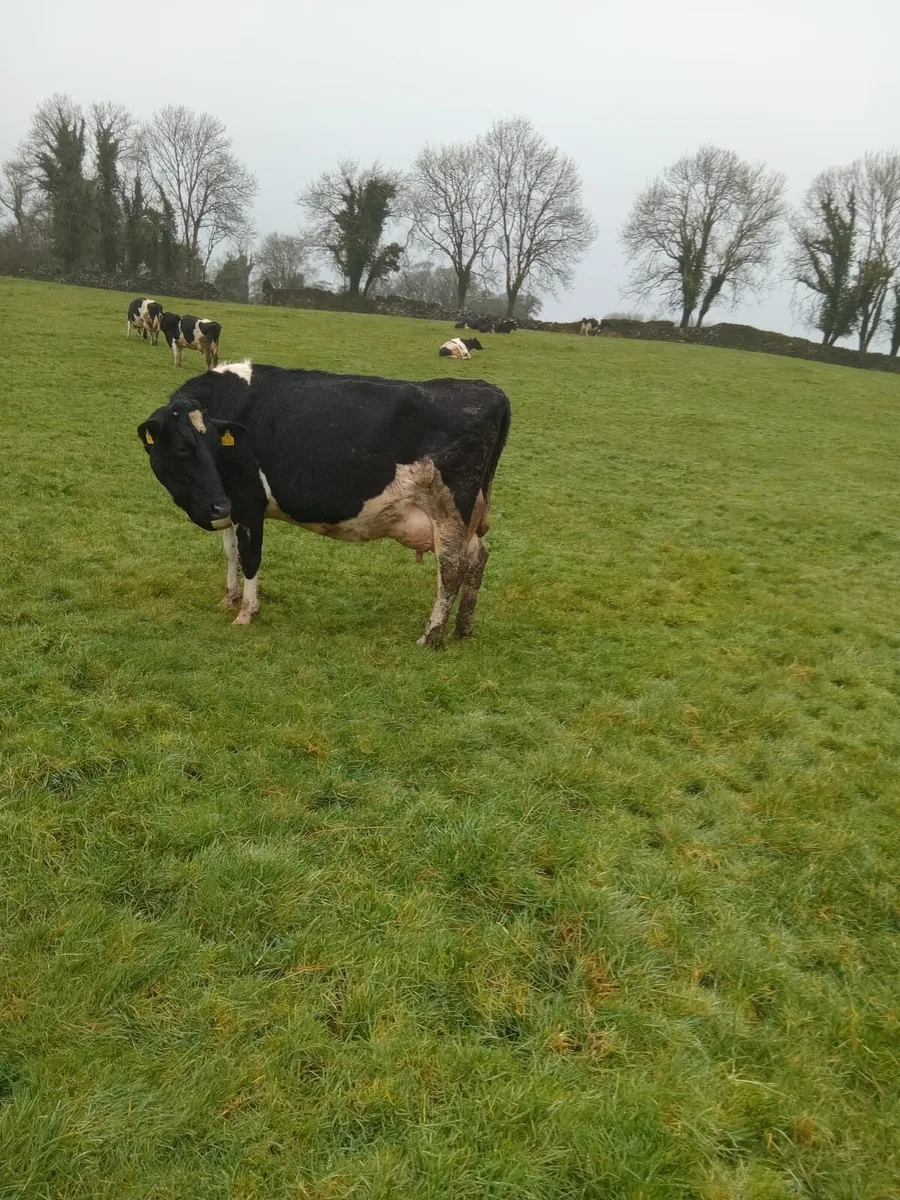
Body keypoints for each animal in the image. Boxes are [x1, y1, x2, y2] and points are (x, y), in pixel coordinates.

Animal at [137, 363, 511, 646]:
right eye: (184, 448)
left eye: (214, 446)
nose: (216, 506)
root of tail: (489, 390)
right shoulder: (233, 505)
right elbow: (231, 554)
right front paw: (228, 600)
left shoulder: (247, 501)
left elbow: (250, 558)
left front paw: (245, 613)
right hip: (470, 518)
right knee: (477, 559)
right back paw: (463, 628)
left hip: (450, 512)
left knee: (451, 570)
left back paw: (431, 637)